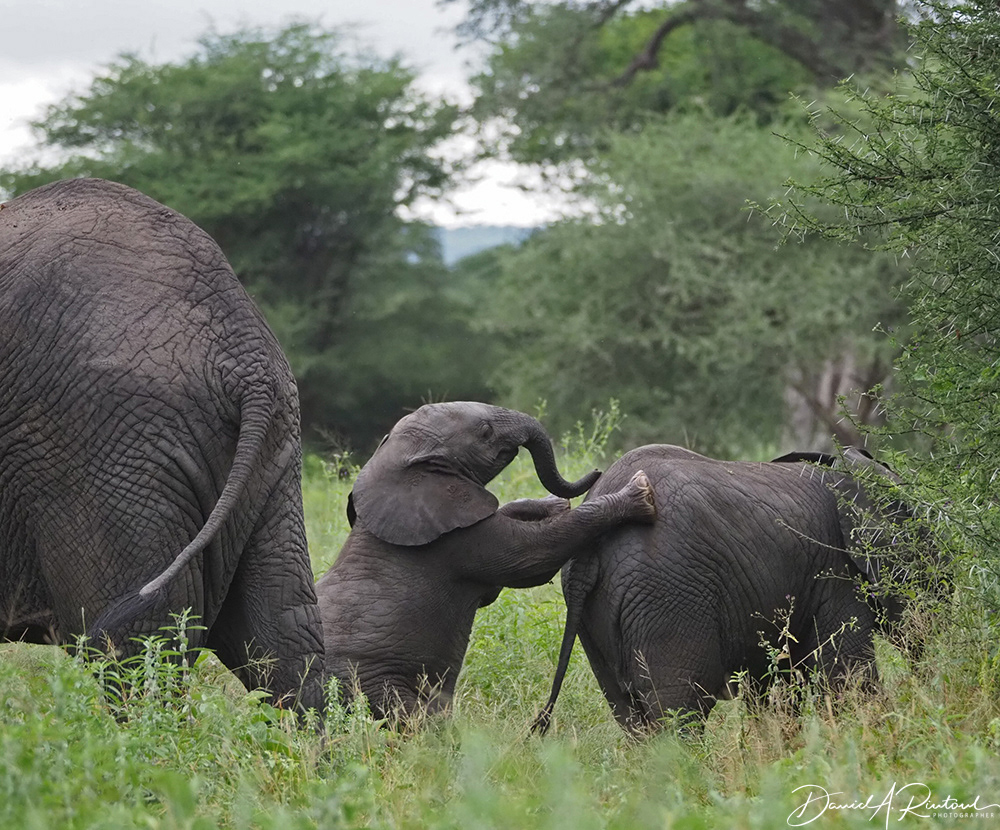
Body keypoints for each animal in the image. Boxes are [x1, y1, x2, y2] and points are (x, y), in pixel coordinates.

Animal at [315, 401, 657, 722]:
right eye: (485, 432)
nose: (598, 471)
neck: (393, 464)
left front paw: (554, 504)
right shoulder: (456, 542)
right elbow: (535, 556)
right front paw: (640, 493)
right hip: (370, 683)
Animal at [533, 444, 936, 734]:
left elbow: (776, 685)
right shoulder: (834, 573)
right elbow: (848, 679)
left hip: (594, 615)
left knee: (631, 717)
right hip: (668, 593)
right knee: (680, 711)